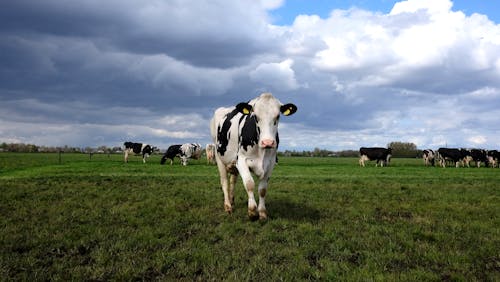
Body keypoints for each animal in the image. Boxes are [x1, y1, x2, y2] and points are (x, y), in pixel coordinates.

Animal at [210, 92, 296, 220]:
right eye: (255, 117)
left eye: (278, 116)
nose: (267, 142)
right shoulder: (241, 160)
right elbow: (249, 184)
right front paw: (252, 211)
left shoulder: (270, 163)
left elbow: (262, 189)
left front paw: (262, 212)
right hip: (219, 157)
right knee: (224, 182)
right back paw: (228, 206)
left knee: (232, 181)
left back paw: (232, 201)